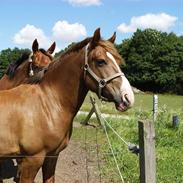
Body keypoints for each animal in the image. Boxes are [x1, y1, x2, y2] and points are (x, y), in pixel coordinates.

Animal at [0, 27, 134, 182]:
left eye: (118, 60)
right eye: (101, 61)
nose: (128, 97)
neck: (46, 105)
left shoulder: (52, 156)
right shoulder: (31, 161)